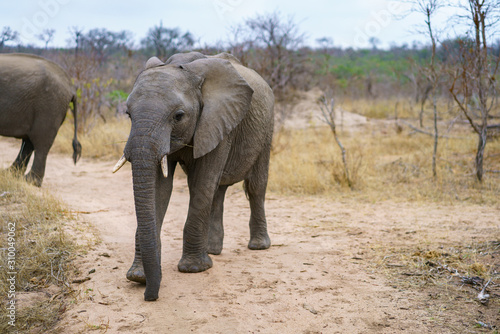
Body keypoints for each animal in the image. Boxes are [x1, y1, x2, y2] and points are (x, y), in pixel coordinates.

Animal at [0, 53, 81, 187]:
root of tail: (71, 86)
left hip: (49, 107)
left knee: (41, 142)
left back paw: (30, 181)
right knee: (29, 142)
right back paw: (10, 173)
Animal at [113, 51, 274, 300]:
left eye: (179, 116)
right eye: (128, 114)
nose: (150, 295)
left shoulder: (218, 120)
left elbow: (203, 182)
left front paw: (194, 269)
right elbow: (160, 187)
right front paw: (138, 276)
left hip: (267, 128)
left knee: (255, 186)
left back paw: (258, 246)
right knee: (217, 191)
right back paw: (212, 250)